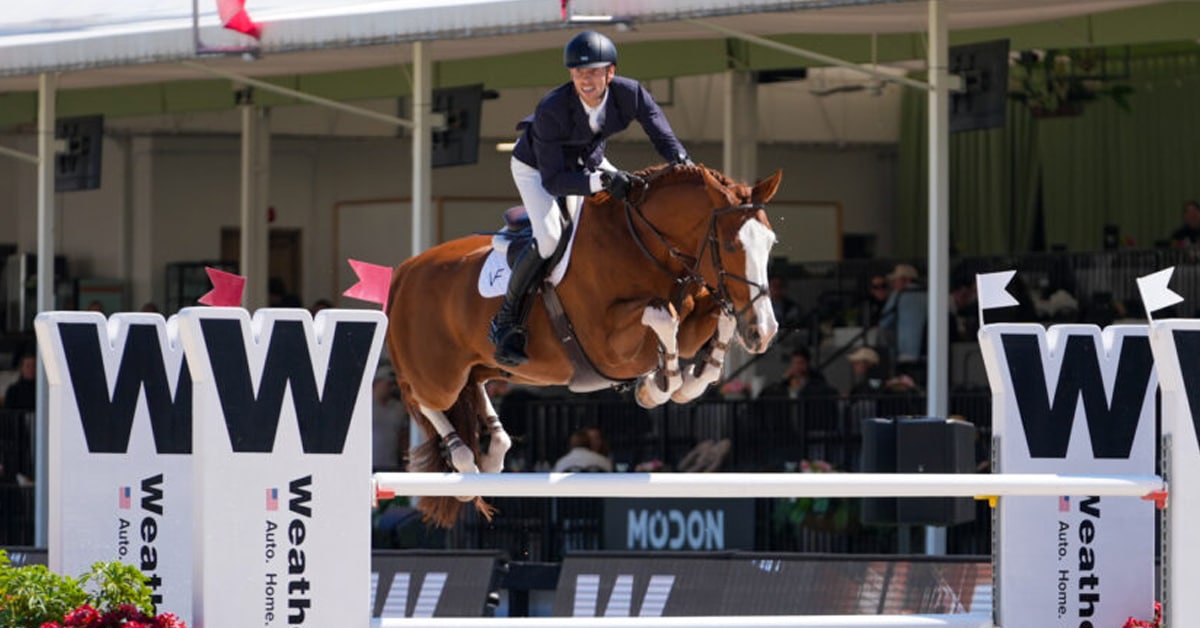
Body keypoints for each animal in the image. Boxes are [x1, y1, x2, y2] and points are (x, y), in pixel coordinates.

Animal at [385, 163, 783, 527]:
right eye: (731, 245)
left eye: (770, 243)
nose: (764, 332)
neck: (644, 243)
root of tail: (405, 270)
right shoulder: (609, 345)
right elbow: (663, 315)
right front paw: (658, 384)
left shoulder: (694, 316)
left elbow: (718, 320)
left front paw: (684, 381)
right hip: (437, 375)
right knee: (420, 397)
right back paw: (465, 461)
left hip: (483, 363)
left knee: (474, 386)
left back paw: (495, 452)